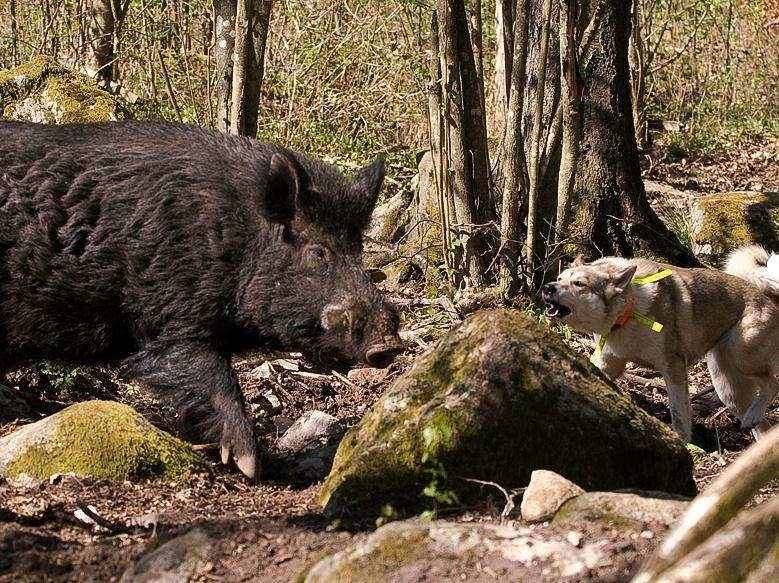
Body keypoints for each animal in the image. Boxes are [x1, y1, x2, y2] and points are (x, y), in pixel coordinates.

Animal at [544, 246, 779, 442]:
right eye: (559, 278)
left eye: (579, 284)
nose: (547, 287)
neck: (630, 310)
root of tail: (764, 293)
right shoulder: (609, 363)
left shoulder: (673, 368)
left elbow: (678, 413)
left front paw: (683, 443)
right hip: (728, 389)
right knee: (761, 425)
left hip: (741, 359)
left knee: (772, 384)